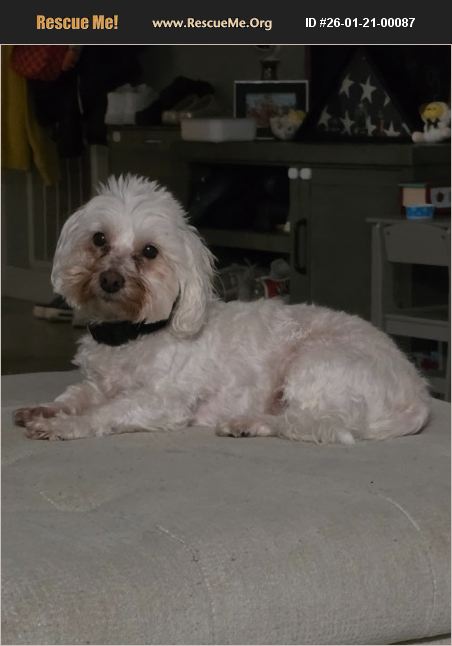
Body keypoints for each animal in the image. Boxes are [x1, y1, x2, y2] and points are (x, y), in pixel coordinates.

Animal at [14, 175, 430, 443]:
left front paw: (65, 426)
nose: (111, 280)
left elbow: (105, 411)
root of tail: (419, 393)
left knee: (318, 424)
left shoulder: (163, 401)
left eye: (150, 251)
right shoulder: (96, 383)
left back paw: (248, 423)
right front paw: (46, 409)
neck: (132, 333)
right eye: (99, 239)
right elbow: (75, 396)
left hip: (315, 364)